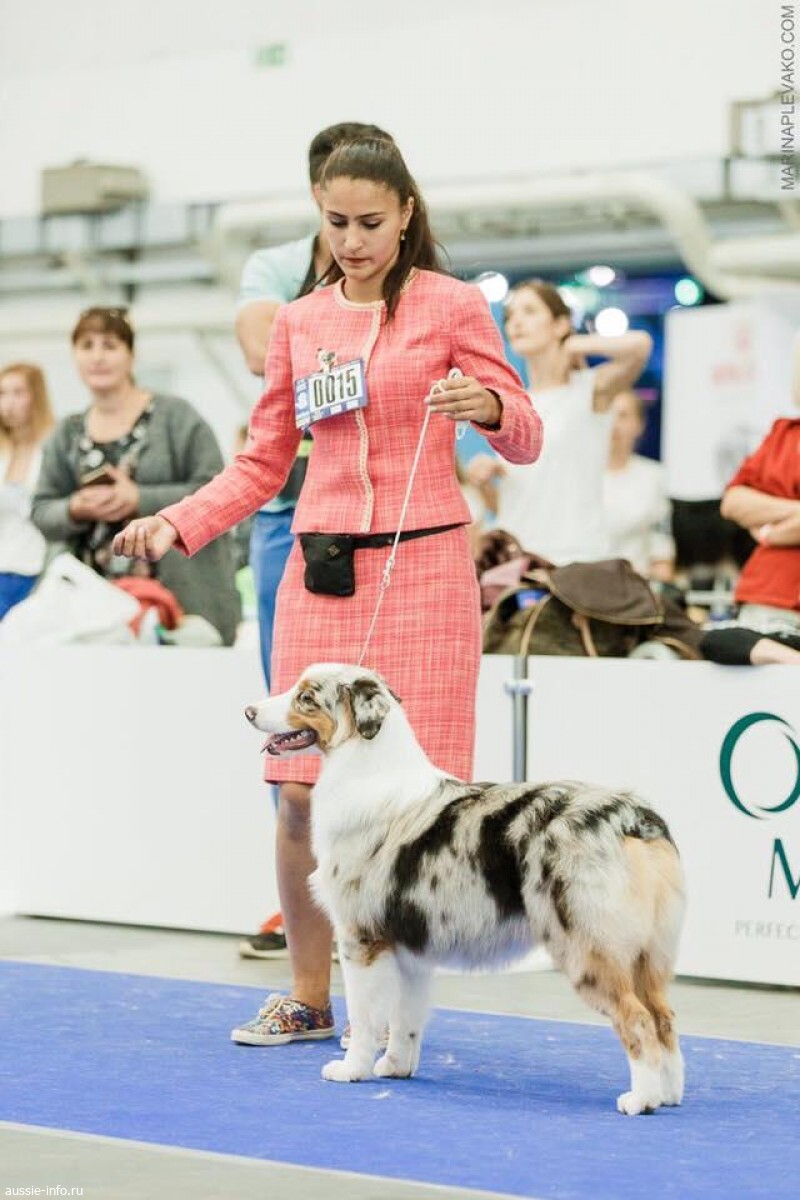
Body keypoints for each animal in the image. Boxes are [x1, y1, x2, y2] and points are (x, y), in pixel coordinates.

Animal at [245, 663, 685, 1115]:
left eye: (307, 698)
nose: (248, 711)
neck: (364, 763)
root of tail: (633, 818)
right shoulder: (411, 947)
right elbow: (405, 1019)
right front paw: (396, 1067)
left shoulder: (360, 938)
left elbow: (367, 1016)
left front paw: (352, 1069)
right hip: (648, 953)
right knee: (664, 1017)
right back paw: (669, 1095)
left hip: (587, 947)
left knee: (637, 1018)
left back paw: (641, 1099)